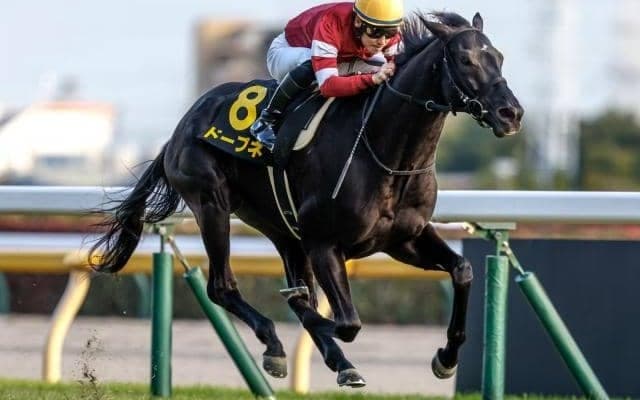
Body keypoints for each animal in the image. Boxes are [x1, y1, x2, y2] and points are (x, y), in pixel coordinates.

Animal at [90, 11, 523, 387]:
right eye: (465, 59)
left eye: (499, 57)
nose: (511, 113)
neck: (384, 151)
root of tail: (180, 128)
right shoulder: (324, 243)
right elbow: (346, 321)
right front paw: (306, 324)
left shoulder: (404, 238)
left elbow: (462, 270)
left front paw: (446, 358)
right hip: (212, 205)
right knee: (223, 287)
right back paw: (277, 343)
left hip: (282, 230)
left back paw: (336, 361)